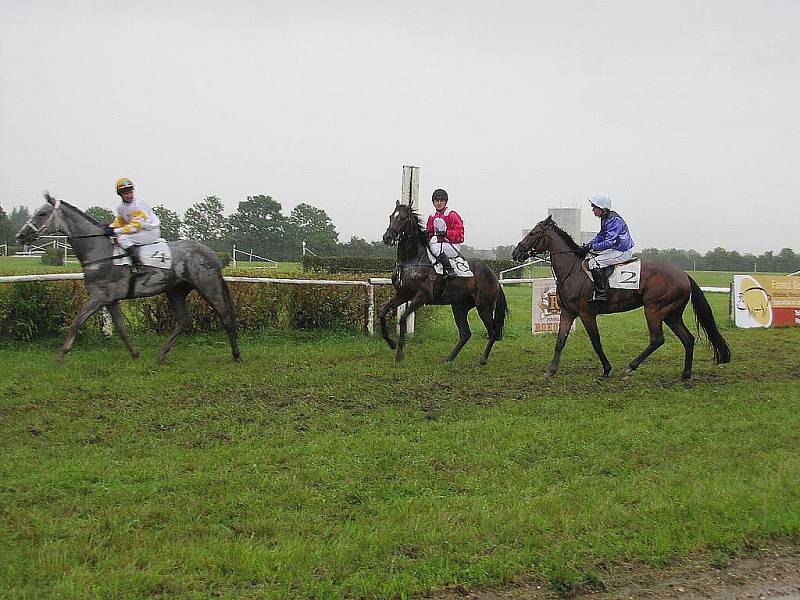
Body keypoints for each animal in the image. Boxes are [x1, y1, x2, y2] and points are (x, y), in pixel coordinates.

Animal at [14, 193, 241, 360]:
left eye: (42, 213)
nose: (20, 235)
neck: (99, 251)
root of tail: (212, 253)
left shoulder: (98, 296)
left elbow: (77, 321)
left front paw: (60, 355)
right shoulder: (110, 299)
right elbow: (121, 328)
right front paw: (135, 353)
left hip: (208, 284)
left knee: (225, 315)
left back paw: (236, 354)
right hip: (175, 290)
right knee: (184, 321)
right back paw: (161, 354)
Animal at [380, 202, 506, 364]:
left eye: (403, 218)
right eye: (391, 216)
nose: (387, 237)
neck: (411, 260)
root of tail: (493, 276)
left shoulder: (422, 296)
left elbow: (402, 319)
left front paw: (400, 353)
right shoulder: (403, 295)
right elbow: (382, 312)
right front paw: (391, 343)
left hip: (484, 306)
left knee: (492, 331)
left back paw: (482, 359)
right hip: (459, 306)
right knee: (465, 333)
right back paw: (448, 358)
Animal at [512, 214, 732, 380]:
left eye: (533, 233)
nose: (516, 252)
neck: (572, 271)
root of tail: (684, 275)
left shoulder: (586, 314)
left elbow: (596, 342)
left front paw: (607, 370)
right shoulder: (567, 313)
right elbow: (560, 342)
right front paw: (551, 371)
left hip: (654, 310)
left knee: (657, 339)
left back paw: (630, 368)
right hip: (671, 314)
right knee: (687, 339)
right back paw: (685, 374)